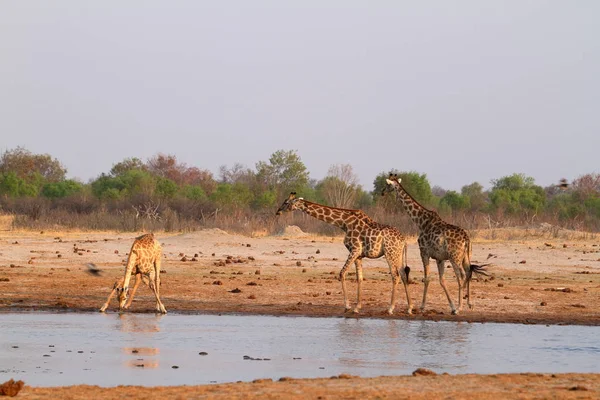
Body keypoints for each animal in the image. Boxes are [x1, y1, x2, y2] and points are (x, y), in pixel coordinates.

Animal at [276, 192, 412, 314]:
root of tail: (403, 240)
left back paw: (390, 309)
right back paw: (410, 308)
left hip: (390, 253)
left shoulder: (354, 250)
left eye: (286, 202)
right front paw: (357, 307)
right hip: (398, 254)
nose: (278, 211)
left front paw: (347, 306)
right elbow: (359, 278)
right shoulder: (359, 255)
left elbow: (342, 273)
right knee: (403, 274)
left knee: (395, 276)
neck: (344, 223)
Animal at [384, 173, 488, 314]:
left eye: (387, 184)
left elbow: (427, 278)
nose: (382, 192)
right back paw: (469, 304)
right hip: (466, 256)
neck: (420, 221)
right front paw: (451, 305)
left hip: (455, 257)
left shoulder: (424, 252)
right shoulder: (440, 258)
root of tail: (467, 239)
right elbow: (441, 280)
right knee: (468, 272)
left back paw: (459, 308)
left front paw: (422, 306)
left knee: (461, 275)